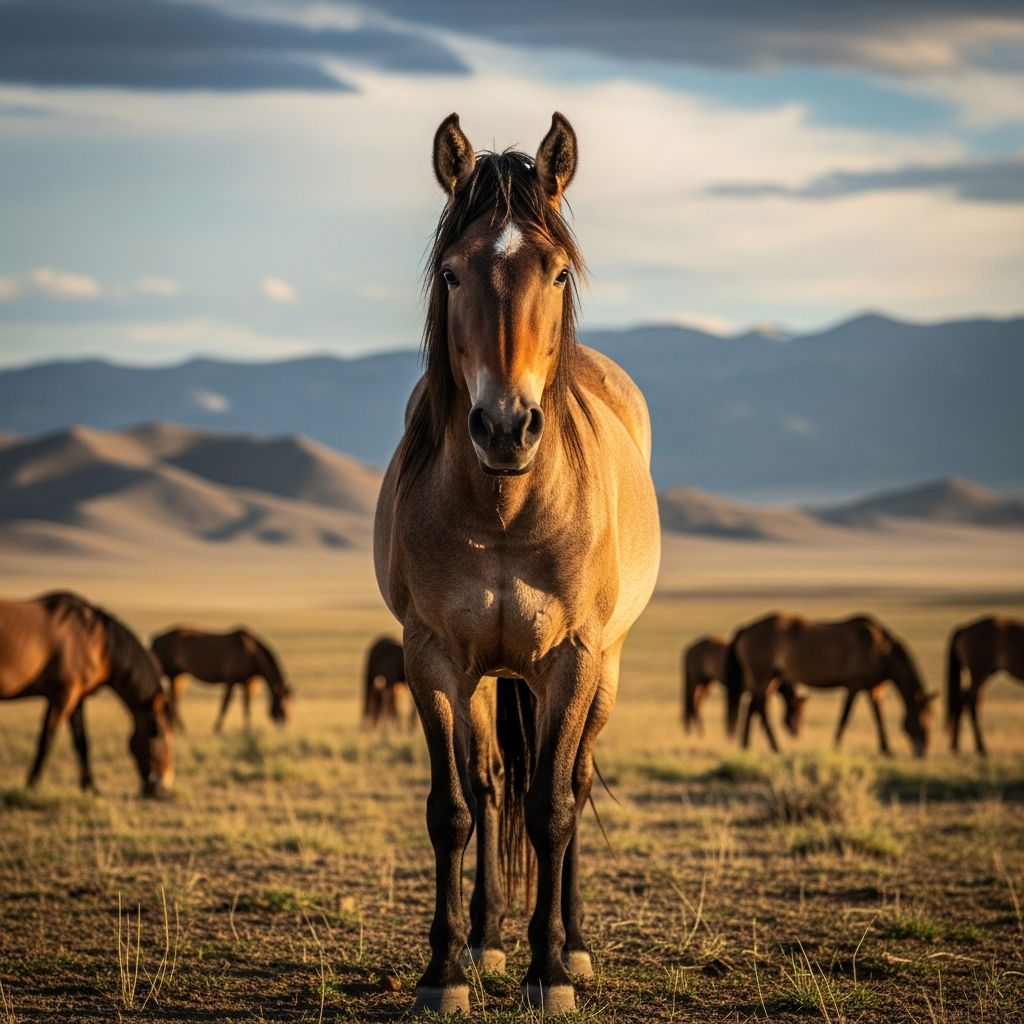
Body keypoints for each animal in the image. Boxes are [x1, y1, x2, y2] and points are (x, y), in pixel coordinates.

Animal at [0, 591, 175, 796]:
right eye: (158, 734)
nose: (164, 783)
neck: (95, 641)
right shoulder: (63, 696)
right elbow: (46, 739)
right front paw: (32, 784)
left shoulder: (76, 698)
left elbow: (81, 742)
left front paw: (90, 787)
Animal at [150, 627, 292, 733]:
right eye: (282, 704)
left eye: (290, 703)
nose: (285, 725)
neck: (250, 653)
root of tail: (157, 638)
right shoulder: (230, 681)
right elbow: (225, 705)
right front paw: (217, 729)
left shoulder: (248, 684)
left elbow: (247, 707)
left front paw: (247, 730)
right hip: (167, 674)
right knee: (169, 699)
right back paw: (179, 728)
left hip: (178, 676)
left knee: (174, 699)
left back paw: (175, 728)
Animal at [373, 113, 661, 1013]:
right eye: (453, 272)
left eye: (558, 271)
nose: (505, 427)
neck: (504, 509)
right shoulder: (431, 657)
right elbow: (456, 809)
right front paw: (444, 972)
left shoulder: (571, 658)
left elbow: (552, 810)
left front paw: (551, 972)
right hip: (489, 674)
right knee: (493, 784)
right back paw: (487, 941)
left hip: (605, 667)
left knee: (572, 783)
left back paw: (573, 944)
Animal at [725, 613, 936, 756]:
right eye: (921, 719)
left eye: (931, 717)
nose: (923, 751)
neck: (880, 651)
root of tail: (746, 628)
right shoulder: (853, 686)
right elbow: (845, 717)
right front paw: (836, 745)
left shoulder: (876, 690)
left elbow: (879, 717)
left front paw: (887, 749)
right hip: (763, 676)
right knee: (759, 707)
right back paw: (775, 746)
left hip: (772, 677)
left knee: (753, 707)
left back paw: (746, 744)